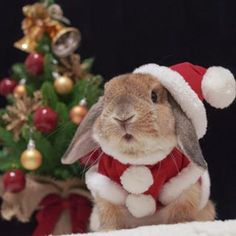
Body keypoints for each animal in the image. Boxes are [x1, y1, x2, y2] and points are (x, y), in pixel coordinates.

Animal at [61, 67, 218, 231]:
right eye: (106, 99)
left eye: (154, 96)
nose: (123, 116)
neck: (138, 160)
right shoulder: (106, 192)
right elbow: (111, 217)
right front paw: (109, 230)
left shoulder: (185, 191)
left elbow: (178, 214)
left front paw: (179, 225)